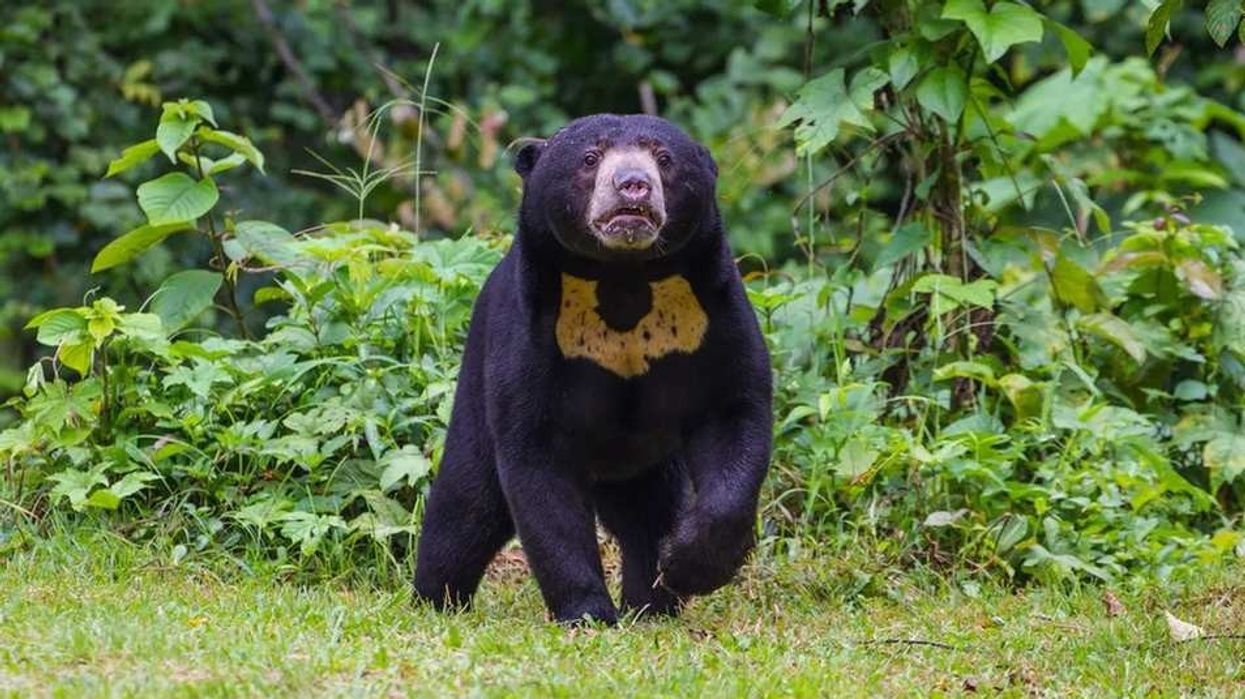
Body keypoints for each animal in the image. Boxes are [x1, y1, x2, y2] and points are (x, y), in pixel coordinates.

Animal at [413, 114, 773, 624]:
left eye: (664, 158)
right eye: (590, 157)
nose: (633, 185)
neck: (623, 277)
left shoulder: (713, 314)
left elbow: (734, 414)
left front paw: (688, 566)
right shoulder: (531, 332)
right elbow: (537, 464)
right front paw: (586, 613)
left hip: (646, 461)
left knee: (647, 514)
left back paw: (652, 605)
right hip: (476, 381)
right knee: (466, 505)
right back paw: (436, 599)